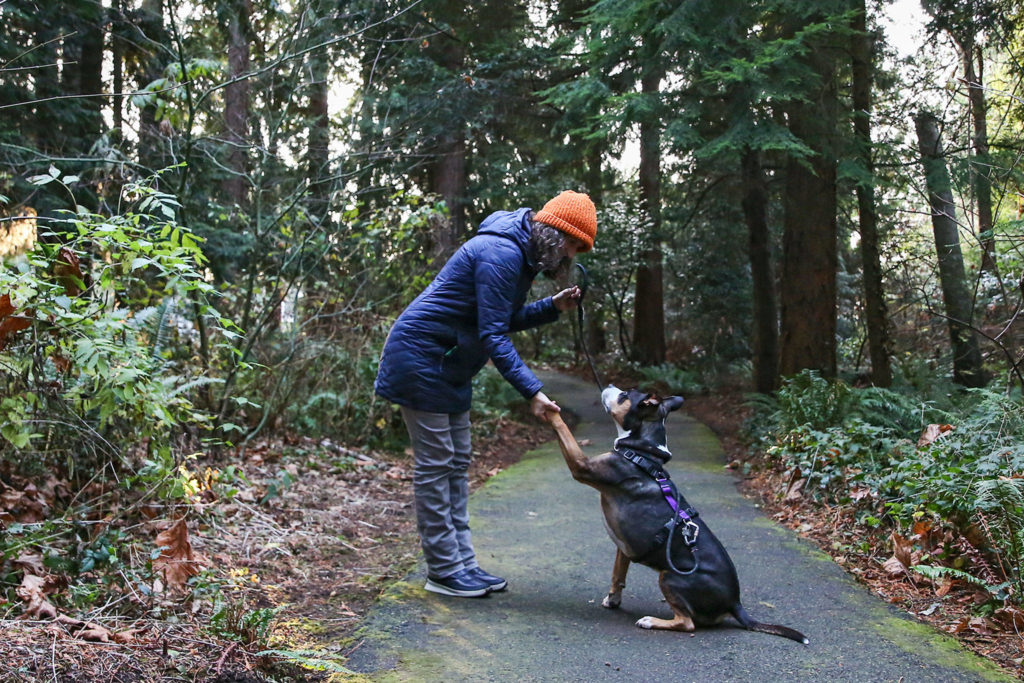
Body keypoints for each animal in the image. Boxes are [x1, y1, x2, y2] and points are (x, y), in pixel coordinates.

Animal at [544, 387, 806, 643]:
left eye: (625, 395)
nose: (608, 386)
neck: (642, 453)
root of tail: (735, 603)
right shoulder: (624, 547)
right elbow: (617, 574)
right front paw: (613, 600)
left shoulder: (581, 465)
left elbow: (562, 427)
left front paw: (547, 409)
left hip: (669, 577)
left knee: (687, 623)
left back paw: (650, 621)